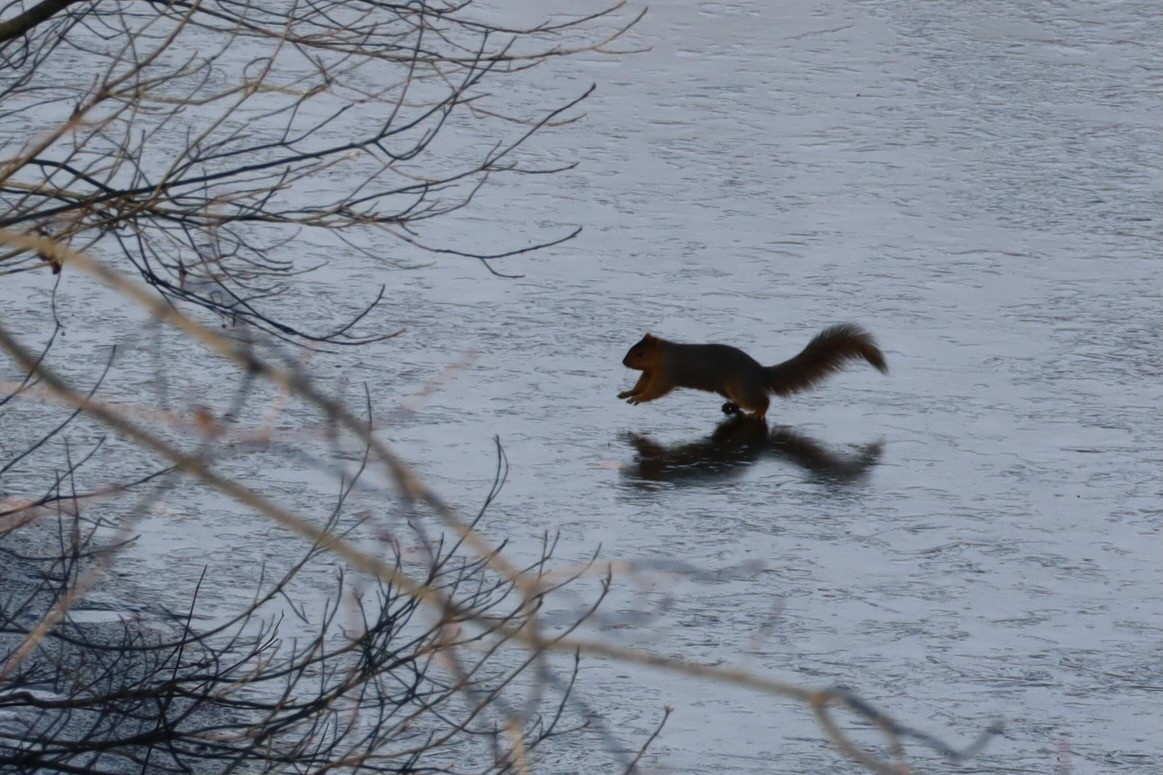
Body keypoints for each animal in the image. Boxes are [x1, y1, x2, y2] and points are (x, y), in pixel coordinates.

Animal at [618, 323, 887, 421]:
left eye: (640, 354)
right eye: (632, 349)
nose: (623, 362)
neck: (665, 356)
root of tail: (759, 373)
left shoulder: (669, 373)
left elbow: (655, 391)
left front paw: (638, 399)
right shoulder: (651, 373)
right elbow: (642, 383)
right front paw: (628, 392)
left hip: (742, 388)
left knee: (763, 401)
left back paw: (756, 413)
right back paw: (731, 407)